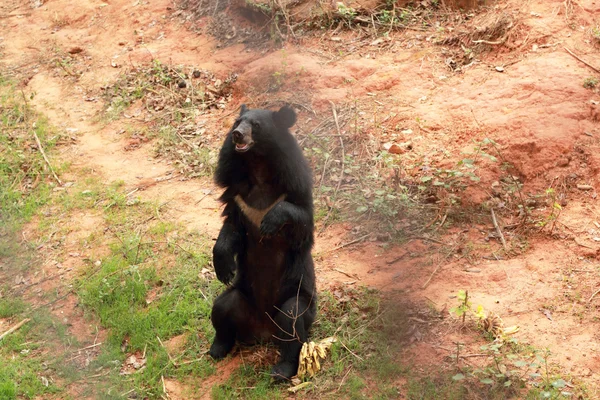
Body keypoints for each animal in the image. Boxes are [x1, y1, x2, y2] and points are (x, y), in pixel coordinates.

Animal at [209, 104, 316, 382]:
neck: (258, 167)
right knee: (222, 308)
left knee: (292, 322)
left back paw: (281, 370)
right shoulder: (237, 195)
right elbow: (232, 228)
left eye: (255, 126)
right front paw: (224, 268)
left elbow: (302, 220)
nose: (236, 135)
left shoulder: (294, 182)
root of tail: (265, 333)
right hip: (241, 300)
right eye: (237, 122)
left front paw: (269, 224)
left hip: (300, 303)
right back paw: (217, 349)